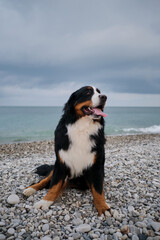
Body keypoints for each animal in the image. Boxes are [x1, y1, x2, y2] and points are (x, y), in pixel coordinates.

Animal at [22, 86, 110, 216]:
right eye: (88, 92)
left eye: (99, 92)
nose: (104, 97)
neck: (82, 128)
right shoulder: (61, 162)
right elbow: (54, 185)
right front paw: (45, 201)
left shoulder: (97, 164)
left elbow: (98, 189)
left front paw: (103, 208)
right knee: (46, 180)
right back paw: (30, 189)